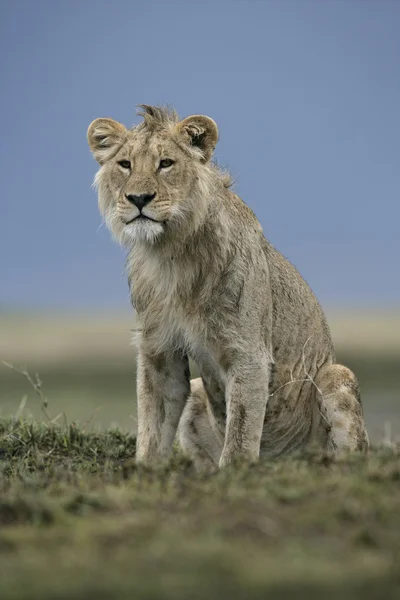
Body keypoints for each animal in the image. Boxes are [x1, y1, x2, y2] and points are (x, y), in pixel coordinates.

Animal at [87, 106, 368, 468]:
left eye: (166, 163)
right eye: (125, 164)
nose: (138, 198)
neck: (171, 254)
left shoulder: (249, 354)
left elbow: (240, 437)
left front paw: (236, 472)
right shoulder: (159, 350)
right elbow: (152, 429)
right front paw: (145, 472)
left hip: (335, 376)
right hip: (196, 392)